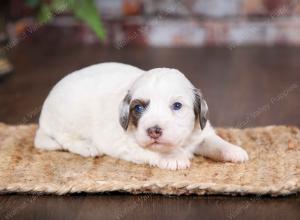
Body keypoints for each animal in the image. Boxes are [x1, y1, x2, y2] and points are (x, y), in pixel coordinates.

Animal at [34, 62, 248, 170]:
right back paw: (86, 146)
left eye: (177, 106)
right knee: (64, 139)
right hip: (67, 119)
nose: (154, 131)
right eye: (138, 108)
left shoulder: (202, 132)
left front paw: (233, 150)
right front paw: (173, 158)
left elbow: (215, 142)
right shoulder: (125, 143)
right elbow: (151, 150)